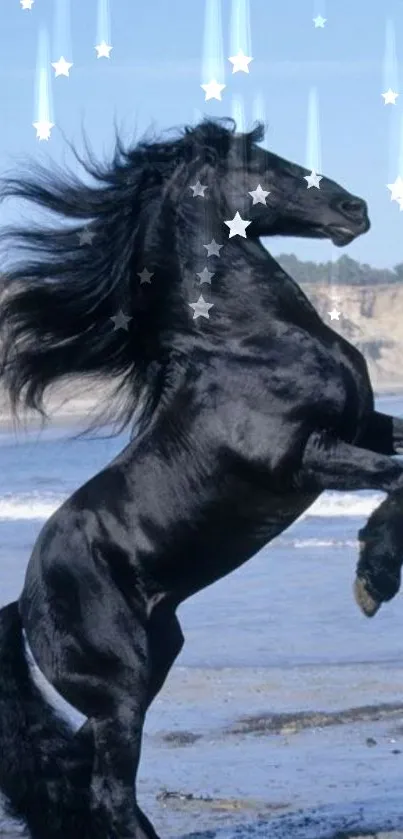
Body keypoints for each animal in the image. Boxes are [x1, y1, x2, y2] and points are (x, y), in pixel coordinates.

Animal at [0, 118, 403, 839]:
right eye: (261, 163)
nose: (354, 209)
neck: (246, 342)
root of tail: (23, 601)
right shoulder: (307, 457)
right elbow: (400, 482)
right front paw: (373, 581)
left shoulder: (365, 427)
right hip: (122, 687)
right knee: (105, 789)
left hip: (150, 664)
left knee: (86, 775)